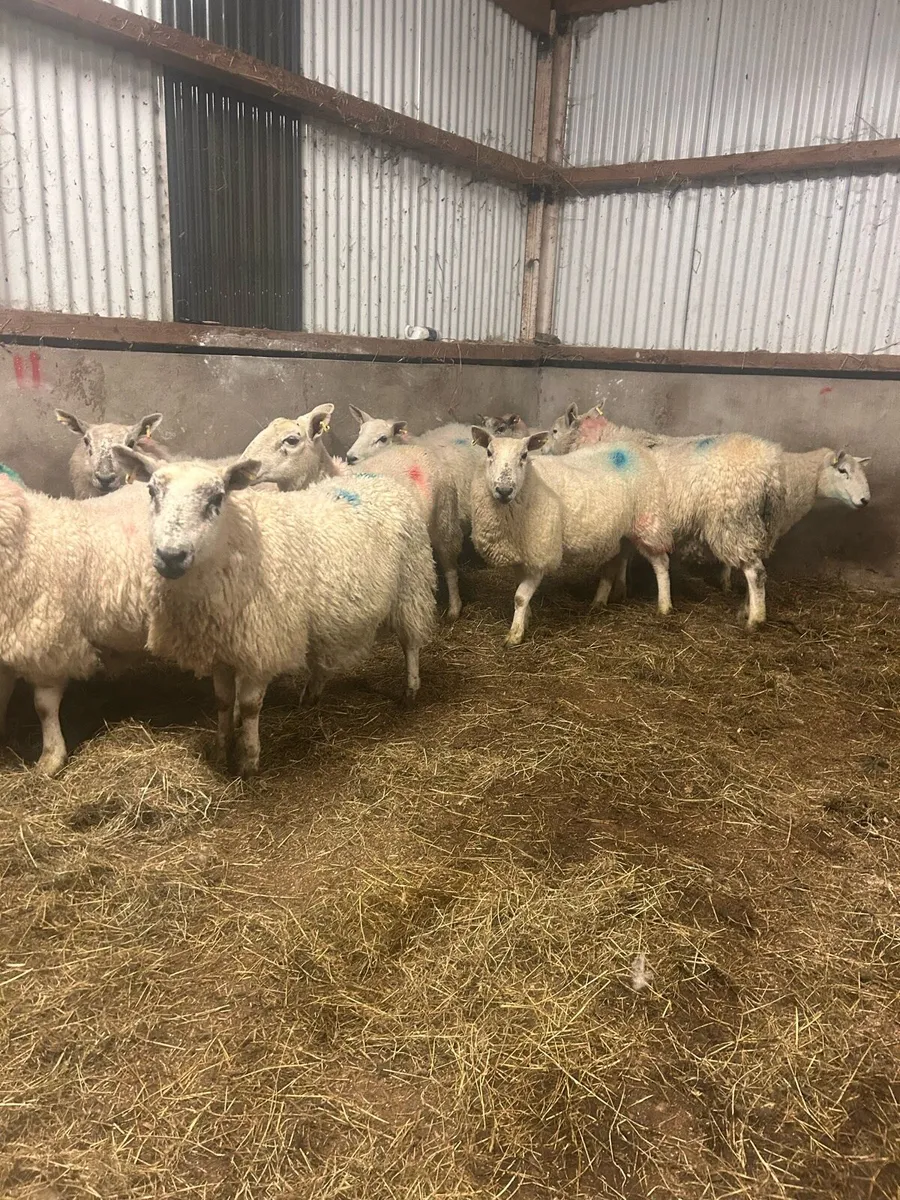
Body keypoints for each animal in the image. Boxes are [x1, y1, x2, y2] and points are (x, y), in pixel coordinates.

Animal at [112, 448, 436, 777]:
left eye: (217, 498)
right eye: (151, 492)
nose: (171, 557)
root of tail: (378, 481)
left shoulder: (262, 644)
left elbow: (251, 705)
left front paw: (248, 761)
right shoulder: (220, 646)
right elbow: (223, 701)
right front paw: (221, 749)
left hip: (411, 584)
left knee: (410, 642)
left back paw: (410, 690)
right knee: (323, 659)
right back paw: (311, 695)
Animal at [346, 408, 464, 619]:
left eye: (383, 438)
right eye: (359, 431)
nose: (350, 457)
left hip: (444, 519)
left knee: (450, 566)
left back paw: (454, 608)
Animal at [469, 427, 673, 645]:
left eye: (524, 455)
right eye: (489, 452)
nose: (504, 490)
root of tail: (633, 446)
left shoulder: (542, 552)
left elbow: (520, 597)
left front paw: (515, 634)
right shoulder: (520, 553)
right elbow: (519, 589)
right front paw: (526, 619)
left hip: (649, 521)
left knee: (661, 563)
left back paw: (664, 606)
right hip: (616, 533)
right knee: (614, 563)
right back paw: (601, 600)